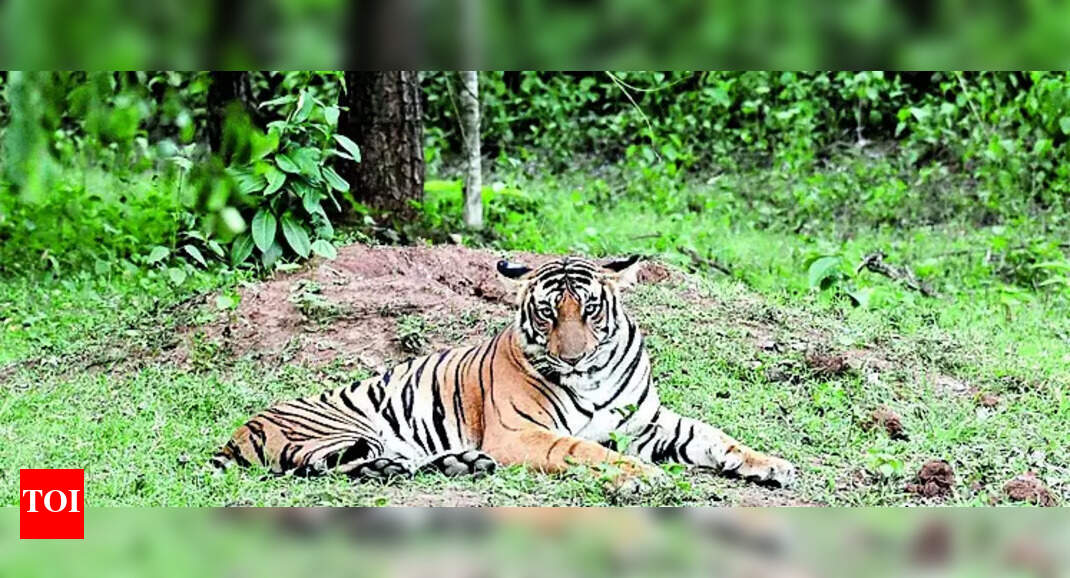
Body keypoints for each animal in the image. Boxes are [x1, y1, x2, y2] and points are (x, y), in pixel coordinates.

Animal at [213, 256, 796, 493]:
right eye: (548, 313)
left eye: (589, 310)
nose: (572, 358)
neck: (593, 376)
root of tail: (239, 430)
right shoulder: (520, 432)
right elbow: (583, 449)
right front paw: (641, 477)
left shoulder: (648, 423)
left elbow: (718, 437)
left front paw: (773, 465)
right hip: (345, 428)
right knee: (318, 466)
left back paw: (460, 464)